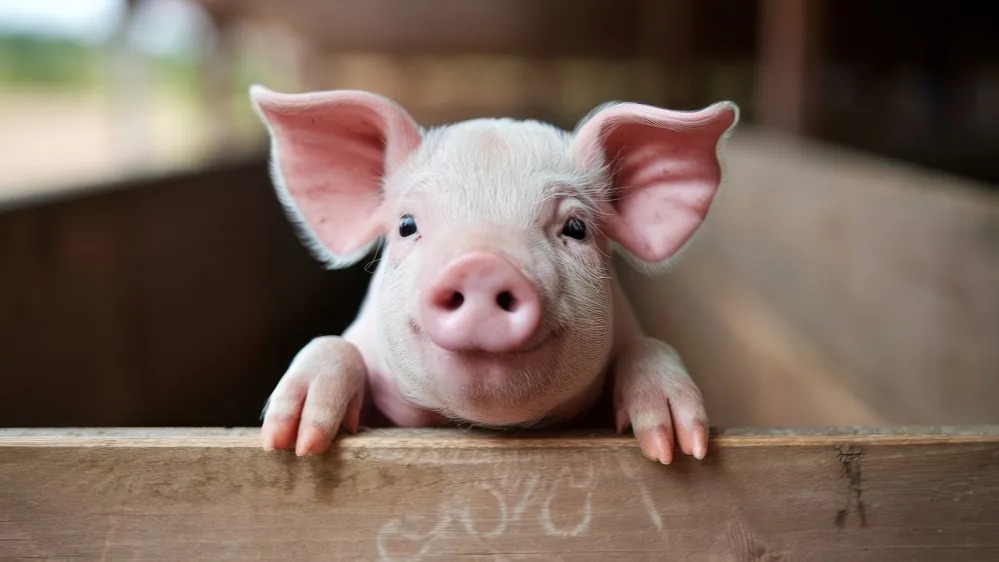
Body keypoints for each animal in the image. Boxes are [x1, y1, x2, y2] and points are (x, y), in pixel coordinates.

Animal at [249, 84, 738, 464]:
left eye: (576, 228)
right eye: (407, 224)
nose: (481, 264)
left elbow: (649, 347)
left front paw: (678, 446)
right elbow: (333, 345)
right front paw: (291, 441)